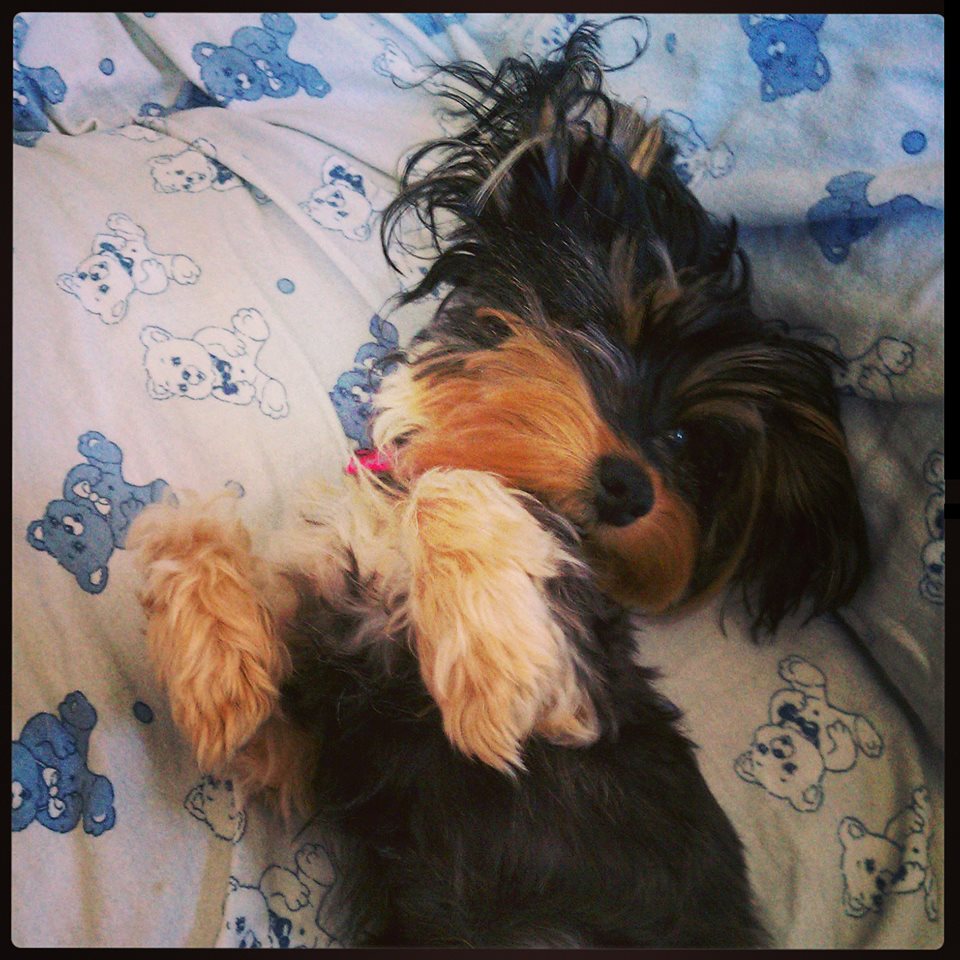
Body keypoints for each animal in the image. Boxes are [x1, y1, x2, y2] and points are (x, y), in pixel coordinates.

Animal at [130, 24, 868, 947]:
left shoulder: (578, 696)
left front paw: (483, 671)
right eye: (595, 327)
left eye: (683, 440)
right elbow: (186, 533)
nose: (632, 489)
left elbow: (460, 491)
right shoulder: (302, 737)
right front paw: (220, 676)